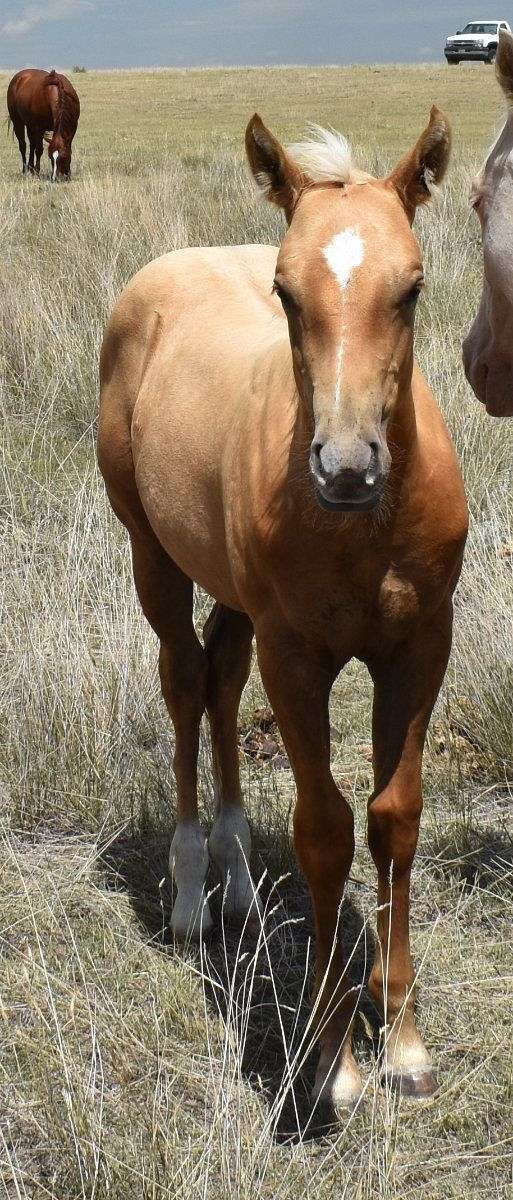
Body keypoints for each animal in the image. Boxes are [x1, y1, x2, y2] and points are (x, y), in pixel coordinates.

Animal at [97, 108, 469, 1108]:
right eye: (285, 291)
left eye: (412, 287)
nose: (345, 466)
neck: (361, 531)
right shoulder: (296, 656)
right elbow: (324, 830)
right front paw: (333, 1059)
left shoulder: (419, 646)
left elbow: (393, 815)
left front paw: (404, 1043)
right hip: (155, 558)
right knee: (185, 683)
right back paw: (193, 891)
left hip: (236, 598)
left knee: (222, 680)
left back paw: (233, 878)